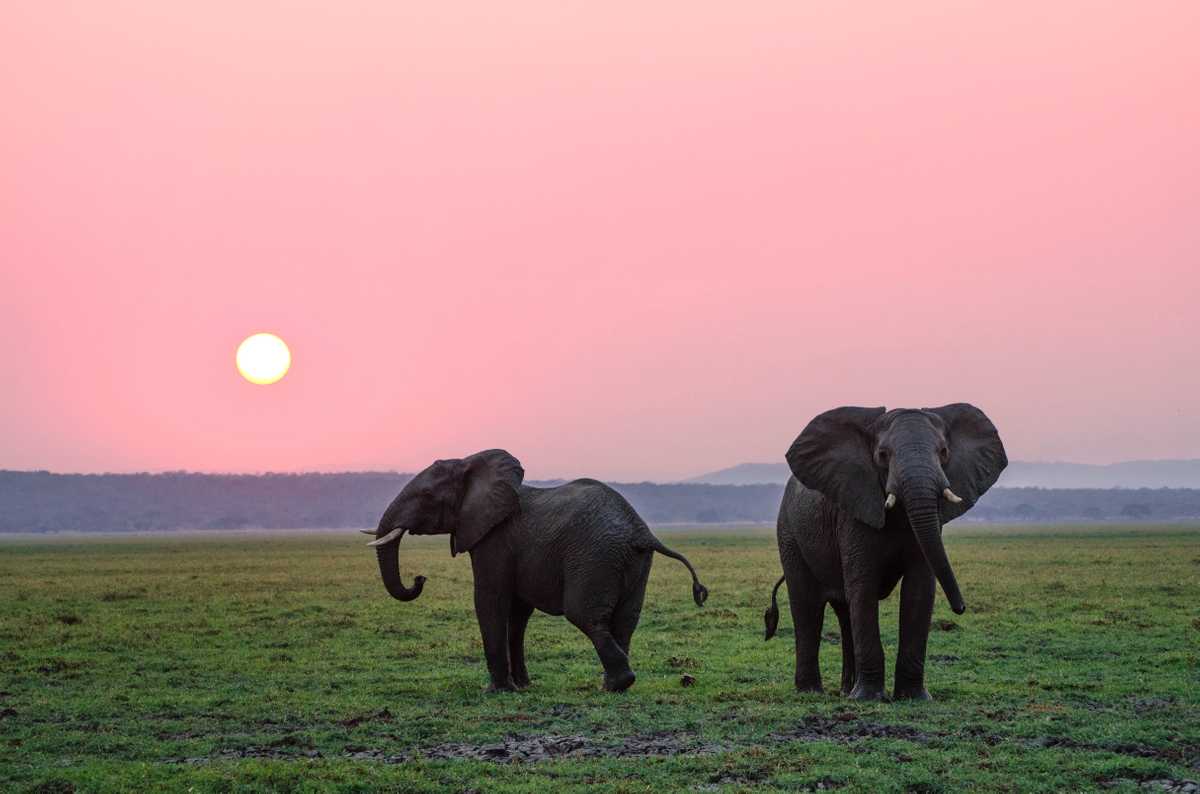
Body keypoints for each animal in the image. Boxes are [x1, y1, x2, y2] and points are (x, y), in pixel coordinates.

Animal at [364, 449, 709, 693]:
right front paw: (523, 686)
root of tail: (640, 530)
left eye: (426, 497)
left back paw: (614, 685)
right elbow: (518, 614)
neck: (470, 464)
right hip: (633, 561)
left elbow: (490, 600)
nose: (419, 578)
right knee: (625, 621)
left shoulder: (494, 539)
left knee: (585, 616)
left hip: (595, 555)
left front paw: (498, 691)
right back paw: (613, 685)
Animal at [763, 404, 1006, 701]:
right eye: (882, 455)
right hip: (789, 534)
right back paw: (812, 692)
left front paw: (913, 698)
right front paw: (868, 698)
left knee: (844, 612)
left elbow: (918, 590)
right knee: (808, 606)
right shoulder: (854, 511)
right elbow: (863, 587)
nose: (960, 608)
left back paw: (845, 691)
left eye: (944, 452)